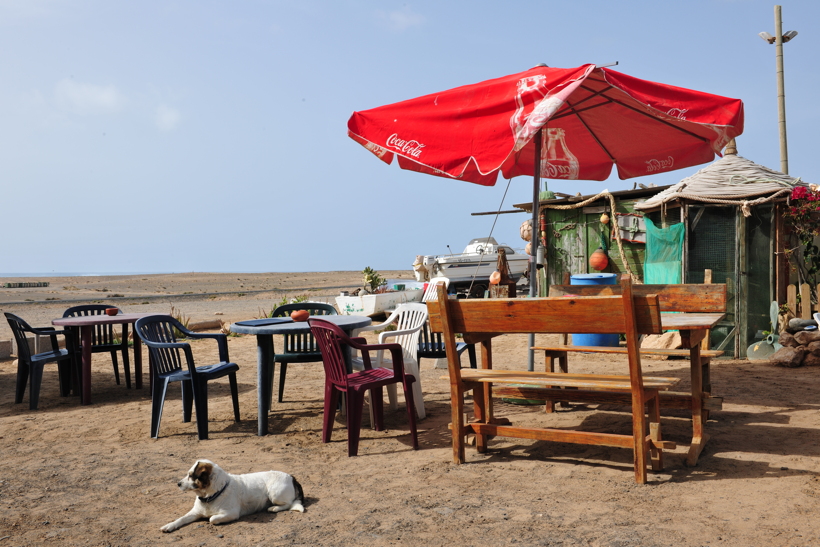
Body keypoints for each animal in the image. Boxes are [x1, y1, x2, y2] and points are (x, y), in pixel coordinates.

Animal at [160, 460, 304, 532]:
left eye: (191, 475)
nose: (178, 483)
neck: (211, 495)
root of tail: (292, 477)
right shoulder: (195, 512)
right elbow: (181, 519)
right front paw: (170, 525)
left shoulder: (232, 513)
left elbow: (212, 518)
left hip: (274, 494)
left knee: (289, 504)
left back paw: (274, 508)